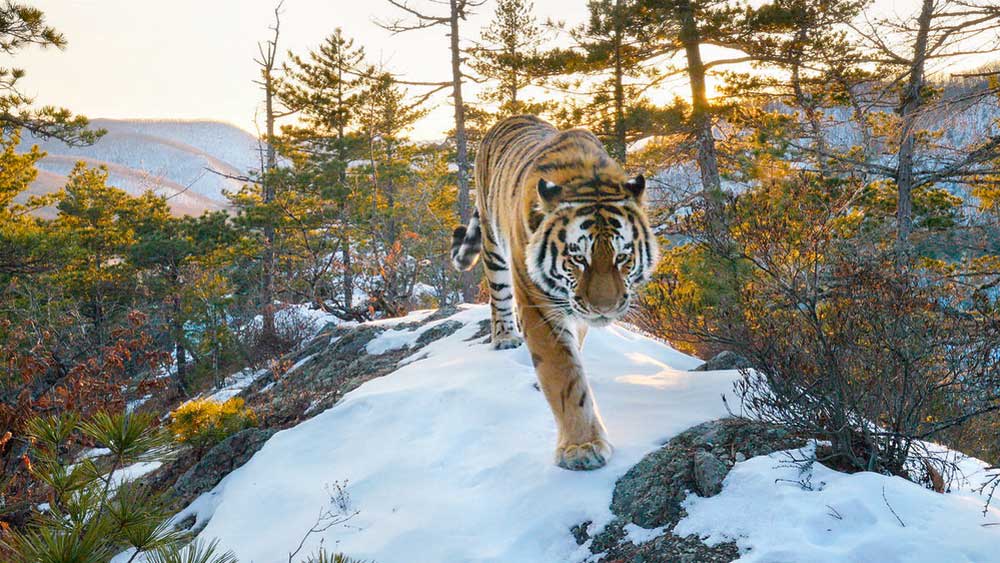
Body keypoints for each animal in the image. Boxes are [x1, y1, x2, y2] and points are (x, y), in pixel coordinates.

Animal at [450, 115, 659, 471]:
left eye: (622, 257)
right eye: (578, 258)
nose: (605, 308)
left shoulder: (578, 310)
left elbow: (575, 348)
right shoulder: (538, 304)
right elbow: (564, 376)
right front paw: (582, 447)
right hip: (494, 248)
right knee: (498, 298)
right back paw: (505, 337)